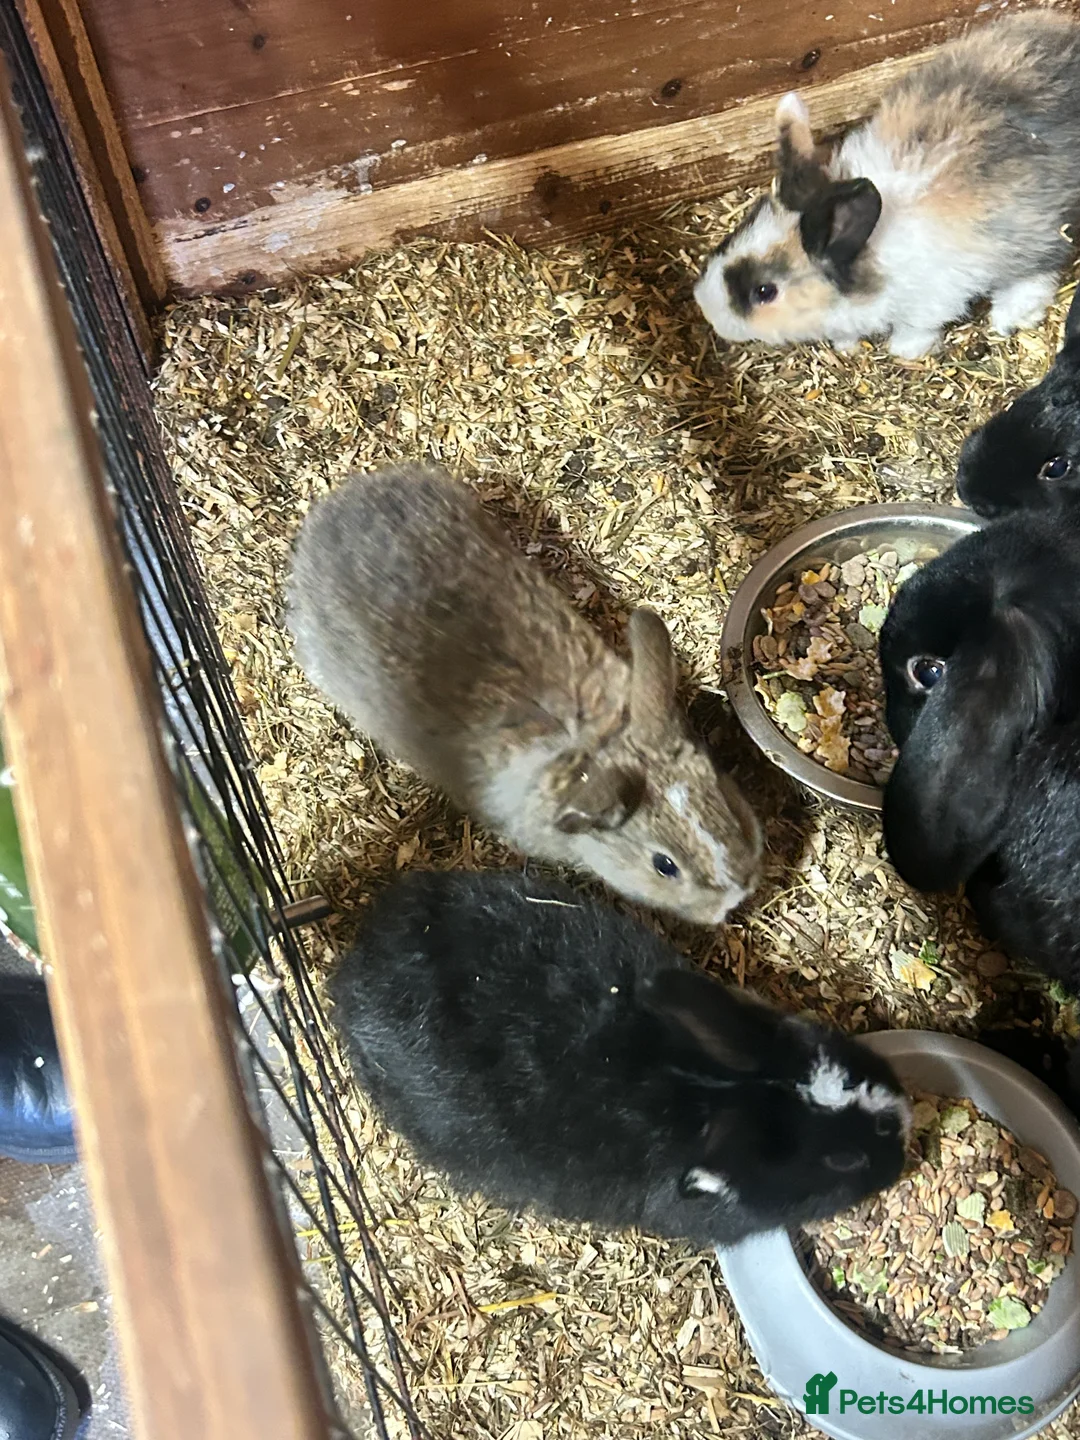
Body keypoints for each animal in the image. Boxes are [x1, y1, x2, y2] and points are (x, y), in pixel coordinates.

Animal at [694, 11, 1080, 359]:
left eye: (764, 292)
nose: (708, 312)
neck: (868, 251)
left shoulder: (930, 300)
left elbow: (916, 328)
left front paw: (906, 351)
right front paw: (846, 346)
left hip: (1033, 238)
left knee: (1036, 278)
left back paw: (1007, 319)